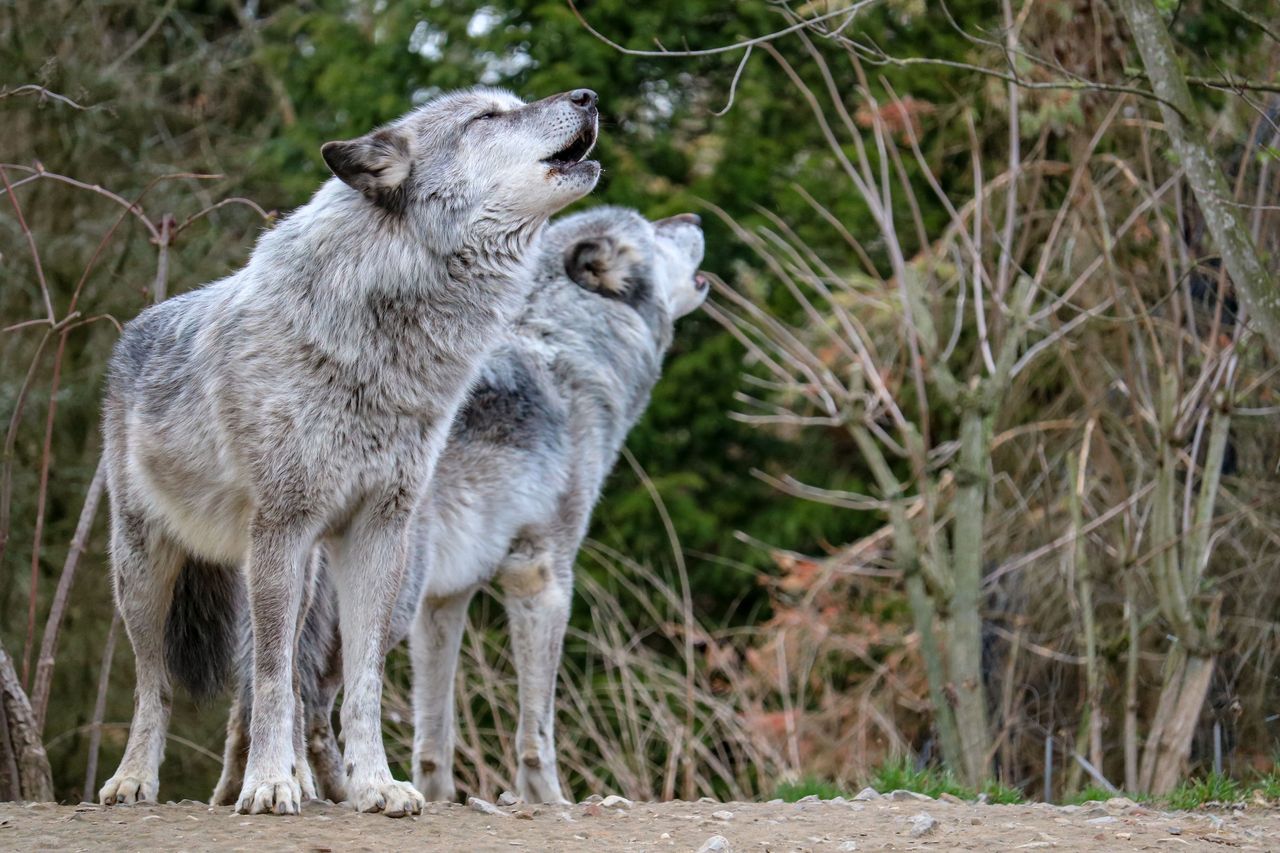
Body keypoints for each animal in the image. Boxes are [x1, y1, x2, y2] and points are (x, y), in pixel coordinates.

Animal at [97, 86, 601, 819]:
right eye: (486, 117)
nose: (587, 97)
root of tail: (134, 330)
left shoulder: (378, 531)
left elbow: (362, 684)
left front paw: (375, 785)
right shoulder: (283, 525)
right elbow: (270, 677)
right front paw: (268, 785)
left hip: (304, 575)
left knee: (297, 681)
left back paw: (305, 781)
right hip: (149, 571)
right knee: (157, 683)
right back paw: (137, 779)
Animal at [211, 206, 711, 804]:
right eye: (654, 231)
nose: (693, 215)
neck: (563, 350)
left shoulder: (445, 601)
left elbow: (434, 734)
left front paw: (442, 795)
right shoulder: (542, 577)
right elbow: (537, 732)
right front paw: (550, 800)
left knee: (254, 698)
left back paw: (246, 791)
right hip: (381, 605)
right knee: (313, 704)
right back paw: (343, 792)